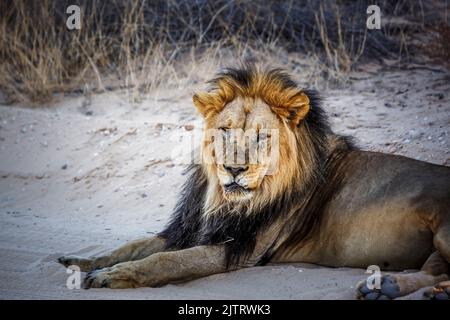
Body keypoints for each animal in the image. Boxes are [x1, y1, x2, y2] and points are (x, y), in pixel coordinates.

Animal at [59, 65, 450, 300]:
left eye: (262, 137)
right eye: (225, 131)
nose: (234, 169)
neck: (222, 199)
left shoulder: (240, 249)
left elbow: (167, 262)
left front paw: (111, 276)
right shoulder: (189, 228)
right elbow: (133, 246)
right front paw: (82, 261)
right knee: (433, 269)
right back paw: (386, 286)